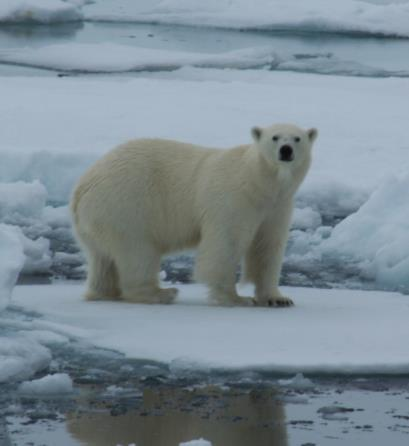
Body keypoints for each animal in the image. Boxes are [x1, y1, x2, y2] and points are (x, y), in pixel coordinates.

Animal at [70, 123, 316, 308]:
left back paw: (103, 292)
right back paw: (161, 293)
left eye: (297, 138)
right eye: (275, 137)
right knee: (138, 251)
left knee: (102, 259)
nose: (286, 150)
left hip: (101, 219)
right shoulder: (234, 200)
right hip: (127, 205)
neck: (259, 183)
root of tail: (82, 188)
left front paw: (278, 298)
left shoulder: (277, 207)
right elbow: (225, 244)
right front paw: (236, 298)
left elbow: (268, 247)